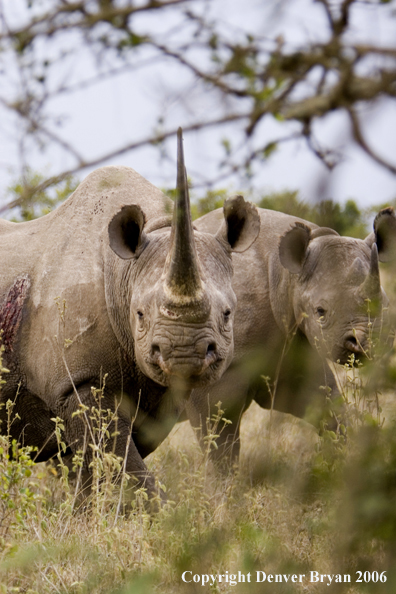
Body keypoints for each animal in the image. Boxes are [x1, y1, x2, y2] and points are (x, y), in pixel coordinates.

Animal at [0, 130, 260, 494]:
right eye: (139, 314)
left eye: (227, 313)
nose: (183, 355)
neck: (122, 270)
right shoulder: (76, 382)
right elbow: (124, 467)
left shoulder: (157, 396)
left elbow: (100, 469)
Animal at [186, 206, 396, 464]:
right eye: (320, 312)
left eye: (386, 306)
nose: (368, 343)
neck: (288, 275)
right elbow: (220, 442)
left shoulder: (294, 348)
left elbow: (331, 413)